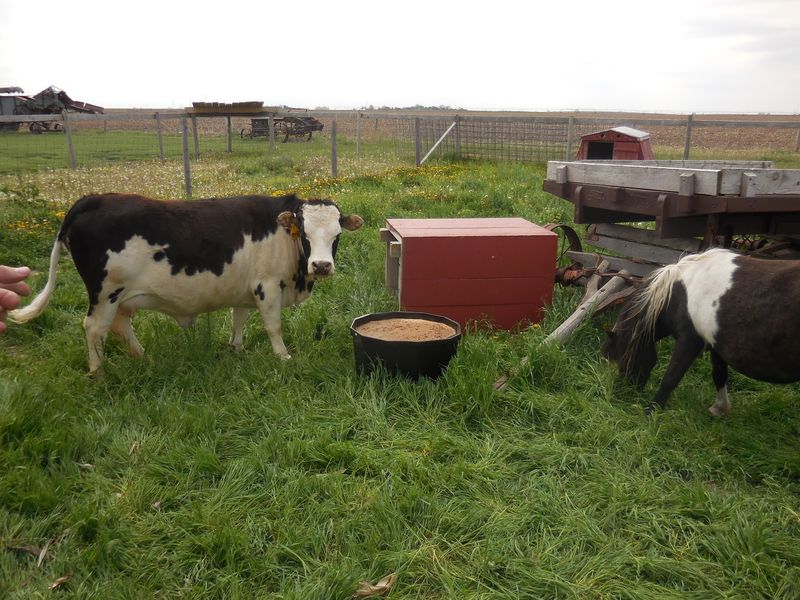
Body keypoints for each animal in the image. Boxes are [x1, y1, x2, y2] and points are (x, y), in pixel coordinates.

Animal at [602, 248, 800, 415]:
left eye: (621, 359)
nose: (627, 391)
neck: (678, 295)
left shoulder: (690, 341)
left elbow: (671, 377)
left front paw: (652, 410)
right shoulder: (716, 345)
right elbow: (719, 374)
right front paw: (720, 408)